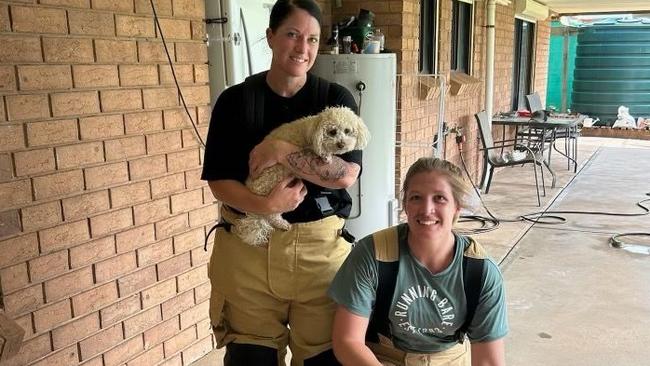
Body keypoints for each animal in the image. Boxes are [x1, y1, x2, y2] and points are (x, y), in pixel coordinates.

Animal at [234, 107, 370, 247]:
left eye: (347, 131)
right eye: (332, 132)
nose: (341, 144)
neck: (313, 126)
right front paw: (326, 156)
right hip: (272, 183)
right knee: (272, 215)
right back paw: (282, 224)